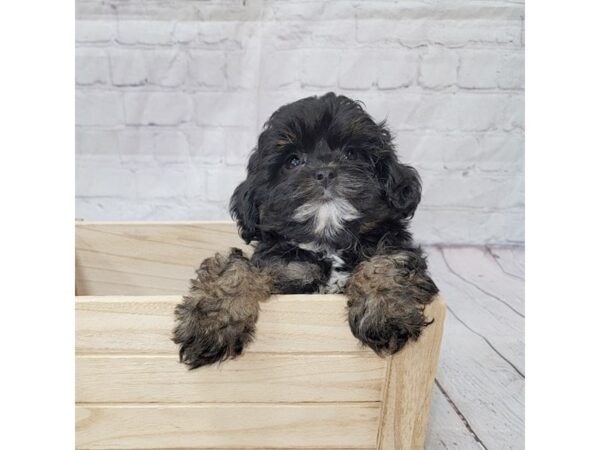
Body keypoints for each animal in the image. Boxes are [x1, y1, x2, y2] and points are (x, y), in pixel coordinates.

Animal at [171, 92, 438, 370]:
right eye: (293, 161)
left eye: (351, 154)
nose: (325, 173)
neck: (328, 243)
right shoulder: (280, 268)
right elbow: (234, 267)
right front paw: (211, 324)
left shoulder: (393, 244)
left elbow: (388, 261)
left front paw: (385, 312)